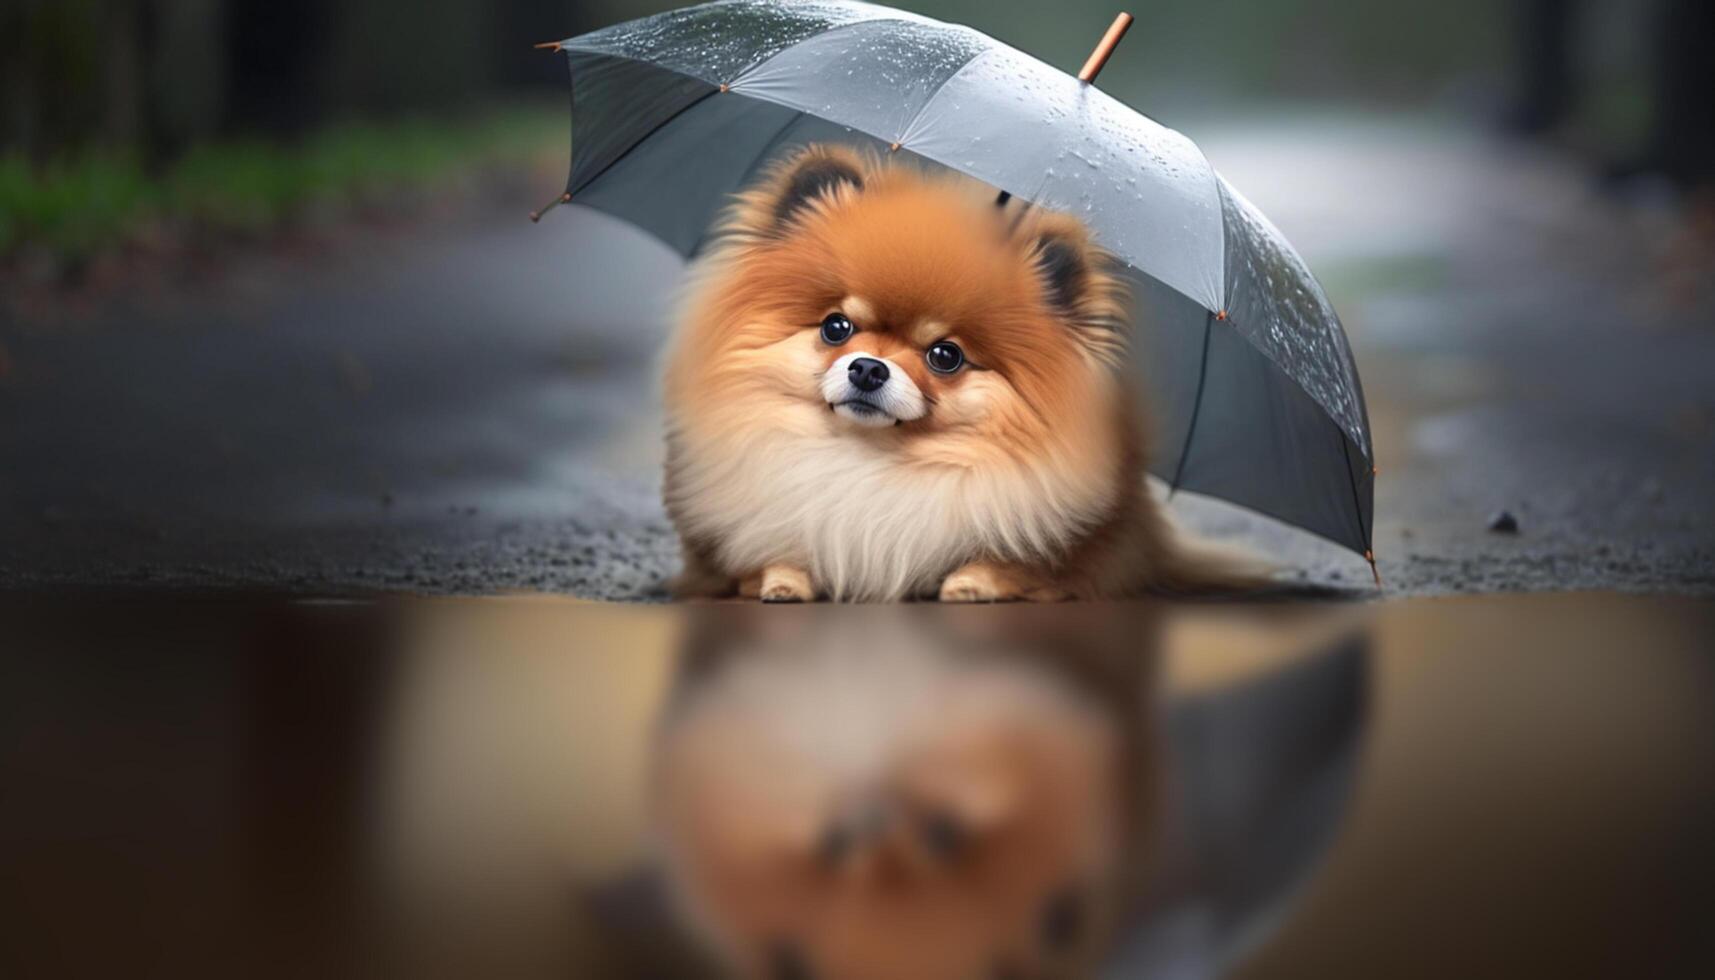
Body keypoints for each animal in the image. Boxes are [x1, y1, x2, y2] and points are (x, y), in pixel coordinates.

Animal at [661, 141, 1255, 600]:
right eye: (836, 327)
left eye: (945, 355)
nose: (868, 369)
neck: (866, 464)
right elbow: (766, 554)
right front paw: (782, 580)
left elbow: (1019, 566)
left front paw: (972, 583)